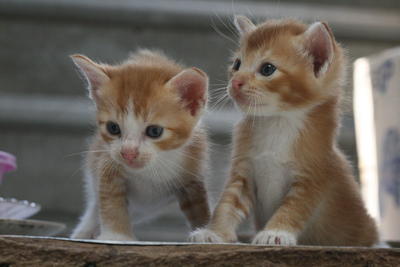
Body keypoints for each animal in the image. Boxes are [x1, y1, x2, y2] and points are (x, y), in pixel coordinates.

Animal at [70, 49, 211, 242]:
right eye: (113, 128)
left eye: (154, 131)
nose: (128, 153)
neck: (150, 170)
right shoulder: (107, 162)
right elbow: (110, 200)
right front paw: (115, 236)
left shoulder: (193, 171)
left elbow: (199, 205)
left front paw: (207, 231)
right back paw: (84, 231)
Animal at [189, 16, 376, 247]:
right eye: (237, 64)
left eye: (267, 69)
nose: (235, 82)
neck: (277, 122)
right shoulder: (243, 171)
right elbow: (227, 204)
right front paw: (214, 232)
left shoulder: (312, 176)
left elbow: (293, 208)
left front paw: (275, 232)